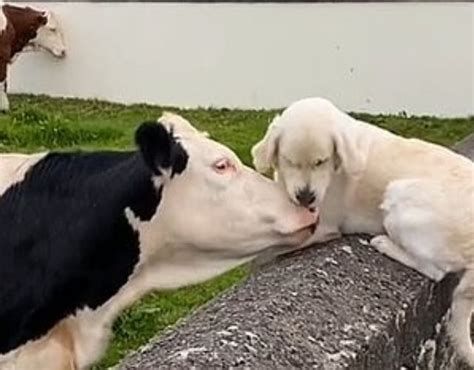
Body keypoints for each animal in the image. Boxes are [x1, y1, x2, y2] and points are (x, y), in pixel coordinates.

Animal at [252, 97, 474, 366]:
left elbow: (267, 249)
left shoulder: (322, 224)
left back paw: (383, 243)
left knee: (435, 269)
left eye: (321, 162)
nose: (306, 197)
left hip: (399, 193)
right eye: (289, 161)